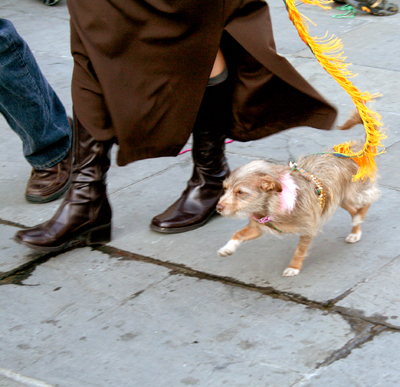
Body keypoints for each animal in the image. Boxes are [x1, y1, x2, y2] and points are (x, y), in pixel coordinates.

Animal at [217, 113, 380, 278]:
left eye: (240, 192)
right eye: (225, 188)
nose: (218, 207)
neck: (271, 205)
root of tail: (356, 149)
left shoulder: (309, 227)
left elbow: (299, 251)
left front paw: (294, 267)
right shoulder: (258, 227)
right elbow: (238, 234)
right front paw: (228, 247)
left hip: (354, 194)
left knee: (370, 199)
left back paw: (358, 220)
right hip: (338, 199)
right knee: (354, 210)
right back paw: (355, 230)